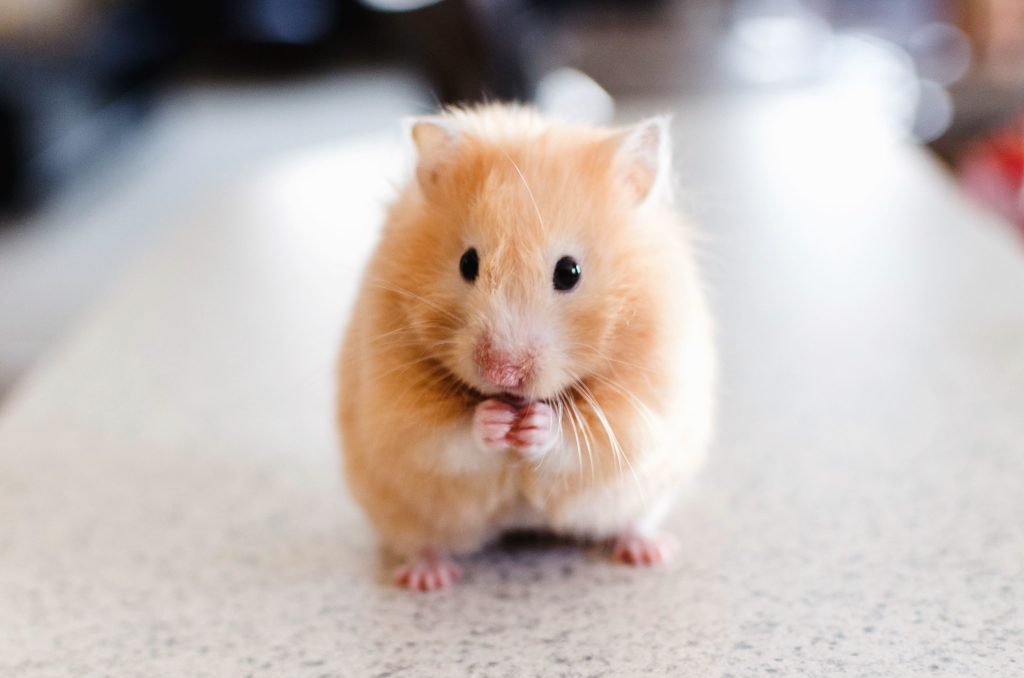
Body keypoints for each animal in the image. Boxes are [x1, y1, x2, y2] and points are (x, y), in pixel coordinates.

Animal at [337, 103, 715, 591]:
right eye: (468, 263)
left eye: (569, 272)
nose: (503, 373)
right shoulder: (396, 412)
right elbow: (446, 438)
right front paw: (494, 420)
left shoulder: (642, 407)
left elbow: (580, 439)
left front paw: (535, 424)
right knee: (422, 541)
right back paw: (427, 578)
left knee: (633, 521)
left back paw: (650, 551)